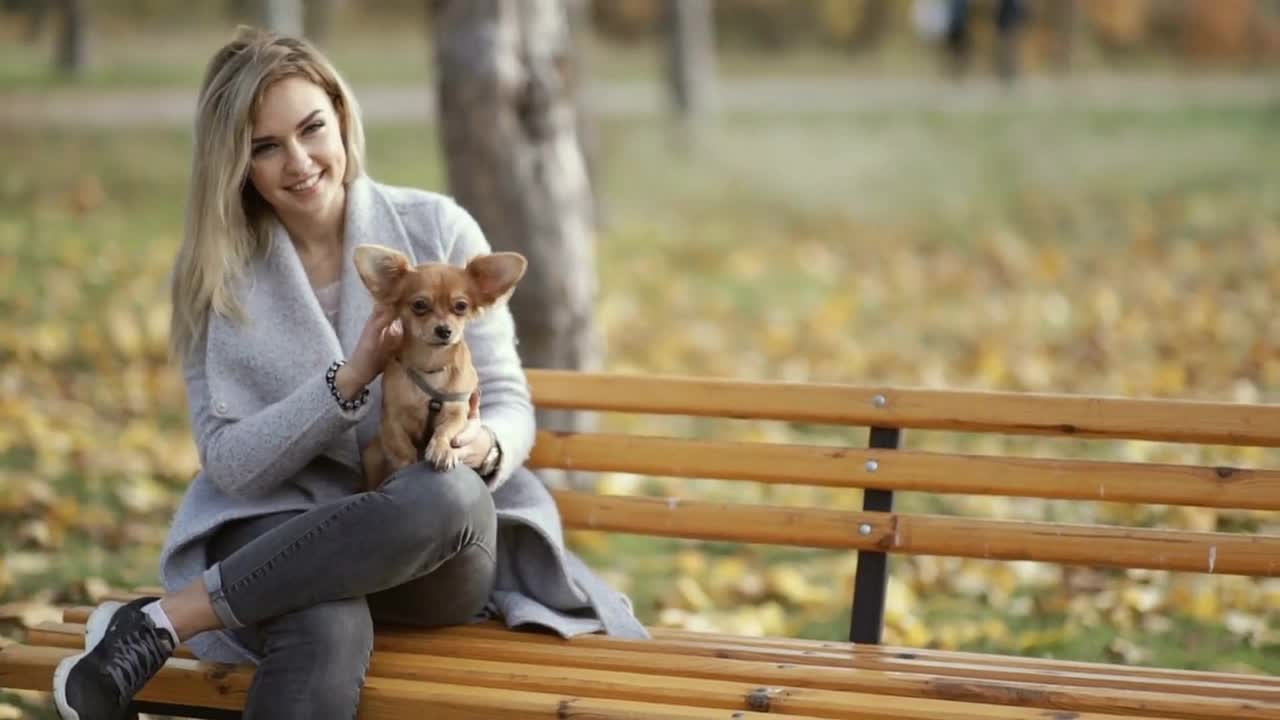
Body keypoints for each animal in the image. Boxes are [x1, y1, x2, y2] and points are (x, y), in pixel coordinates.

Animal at [353, 243, 527, 489]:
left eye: (461, 306)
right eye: (419, 305)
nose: (444, 330)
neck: (431, 365)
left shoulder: (458, 413)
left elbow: (446, 430)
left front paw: (442, 450)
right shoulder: (391, 420)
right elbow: (400, 446)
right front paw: (407, 465)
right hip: (373, 456)